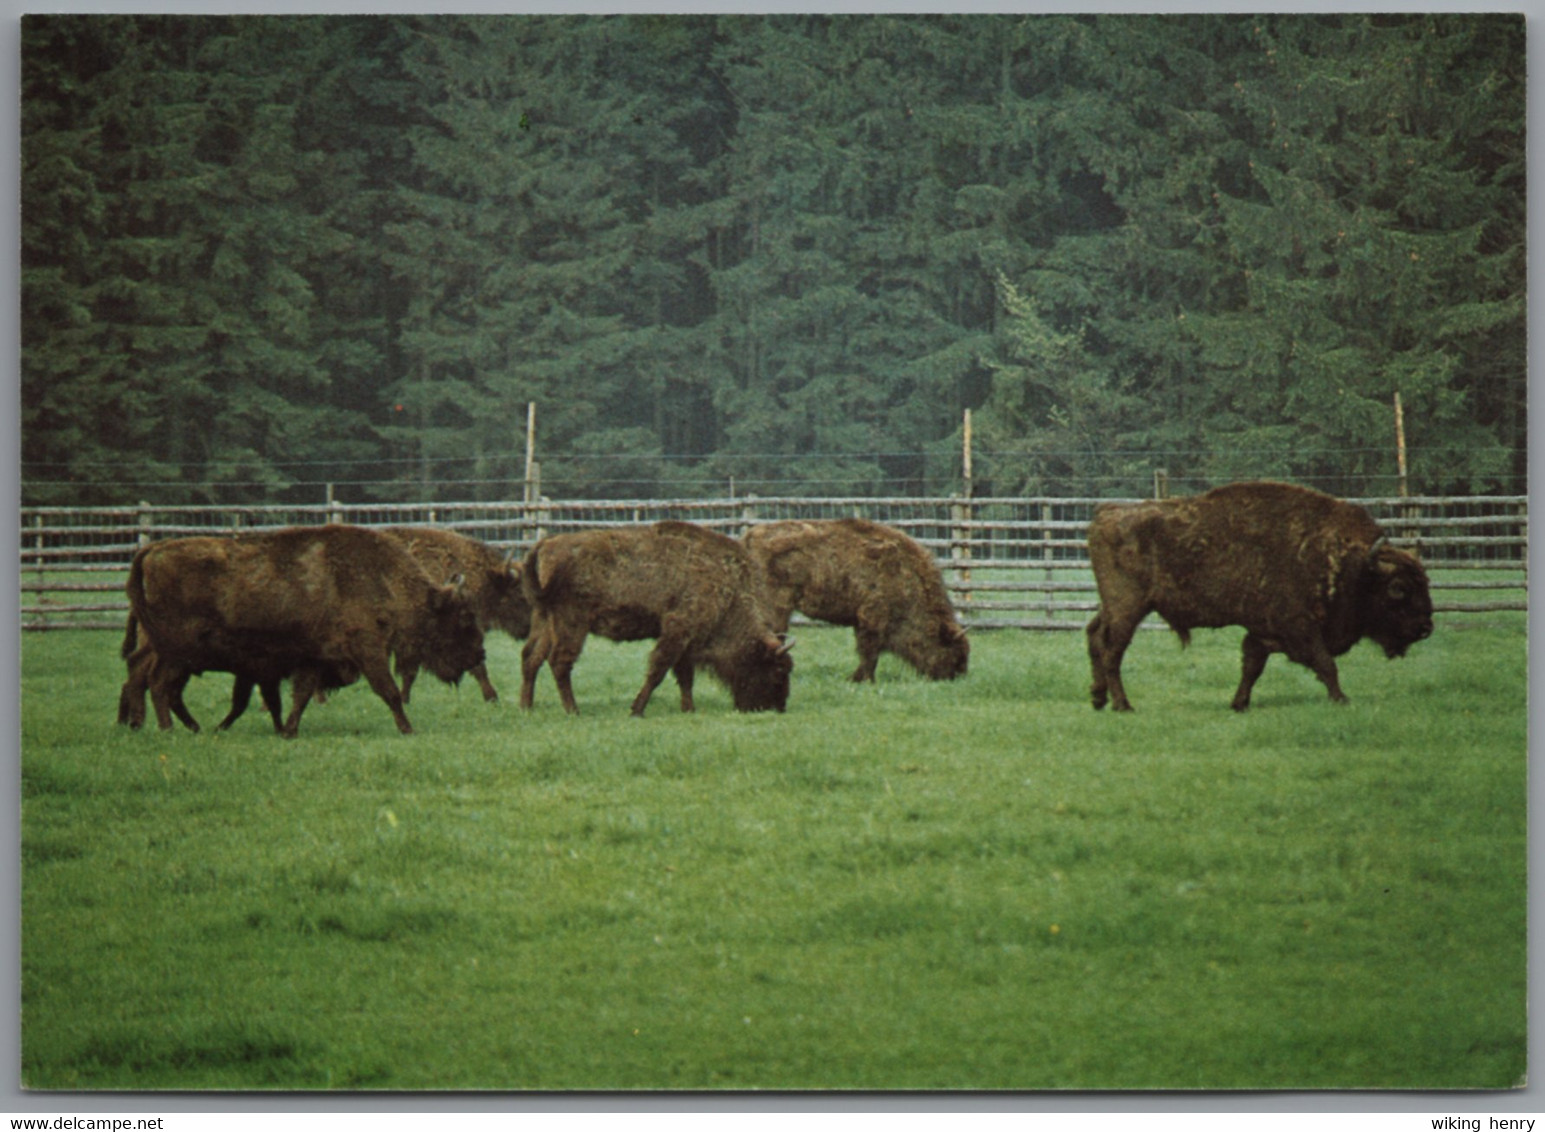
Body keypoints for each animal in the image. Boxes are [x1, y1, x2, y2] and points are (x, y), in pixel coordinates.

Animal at [124, 525, 485, 738]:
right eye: (465, 616)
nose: (479, 653)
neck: (381, 579)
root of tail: (152, 551)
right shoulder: (368, 649)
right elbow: (390, 691)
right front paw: (408, 728)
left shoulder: (316, 657)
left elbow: (301, 695)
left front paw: (288, 730)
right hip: (177, 652)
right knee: (158, 684)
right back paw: (169, 729)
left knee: (158, 685)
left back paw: (187, 727)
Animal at [522, 521, 797, 716]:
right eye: (778, 669)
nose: (778, 707)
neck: (727, 587)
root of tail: (546, 544)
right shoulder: (678, 631)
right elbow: (658, 670)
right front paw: (636, 710)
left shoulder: (686, 641)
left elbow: (684, 676)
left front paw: (689, 709)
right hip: (572, 622)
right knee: (559, 662)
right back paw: (573, 710)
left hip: (545, 620)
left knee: (531, 657)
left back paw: (526, 707)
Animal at [738, 518, 964, 679]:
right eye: (950, 648)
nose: (955, 676)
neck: (906, 576)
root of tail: (748, 538)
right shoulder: (871, 618)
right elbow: (869, 652)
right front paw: (861, 679)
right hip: (777, 606)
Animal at [1087, 481, 1433, 710]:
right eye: (1398, 588)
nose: (1425, 627)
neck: (1349, 561)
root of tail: (1106, 513)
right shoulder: (1300, 629)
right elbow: (1325, 664)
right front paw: (1342, 699)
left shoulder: (1262, 631)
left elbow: (1252, 666)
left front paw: (1238, 704)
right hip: (1128, 608)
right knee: (1112, 650)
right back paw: (1122, 704)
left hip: (1114, 607)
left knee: (1094, 635)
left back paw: (1098, 698)